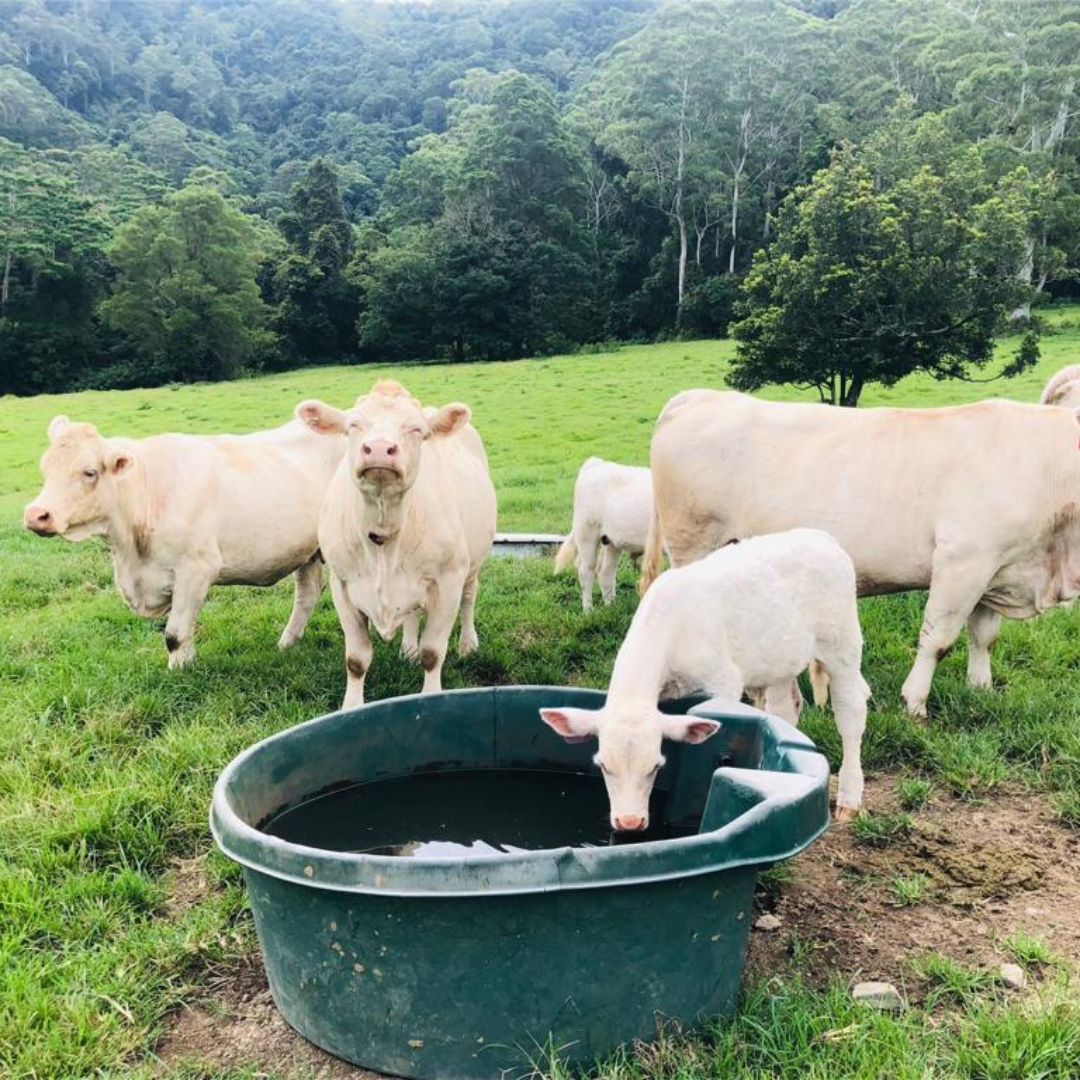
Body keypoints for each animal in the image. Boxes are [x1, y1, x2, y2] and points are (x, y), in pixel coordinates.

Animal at [23, 415, 345, 667]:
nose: (36, 514)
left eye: (89, 472)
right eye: (45, 468)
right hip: (307, 549)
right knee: (307, 593)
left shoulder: (196, 570)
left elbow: (175, 634)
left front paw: (180, 670)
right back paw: (287, 643)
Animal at [296, 380, 496, 708]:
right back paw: (408, 649)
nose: (379, 449)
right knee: (412, 613)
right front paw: (351, 707)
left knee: (469, 597)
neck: (383, 536)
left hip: (472, 564)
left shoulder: (448, 581)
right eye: (353, 425)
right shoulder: (342, 584)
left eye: (417, 430)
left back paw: (468, 643)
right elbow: (356, 659)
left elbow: (433, 653)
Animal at [541, 529, 870, 827]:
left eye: (655, 767)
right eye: (603, 766)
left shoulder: (723, 680)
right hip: (781, 655)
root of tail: (820, 536)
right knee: (786, 706)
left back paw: (850, 799)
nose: (629, 822)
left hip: (841, 643)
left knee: (851, 711)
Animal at [553, 457, 653, 611]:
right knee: (586, 571)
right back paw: (589, 610)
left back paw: (611, 605)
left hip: (612, 541)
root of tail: (596, 462)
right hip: (587, 533)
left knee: (606, 571)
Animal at [641, 389, 1080, 717]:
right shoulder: (964, 561)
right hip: (694, 543)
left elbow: (984, 637)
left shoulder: (998, 568)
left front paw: (980, 689)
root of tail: (699, 396)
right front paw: (915, 703)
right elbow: (938, 639)